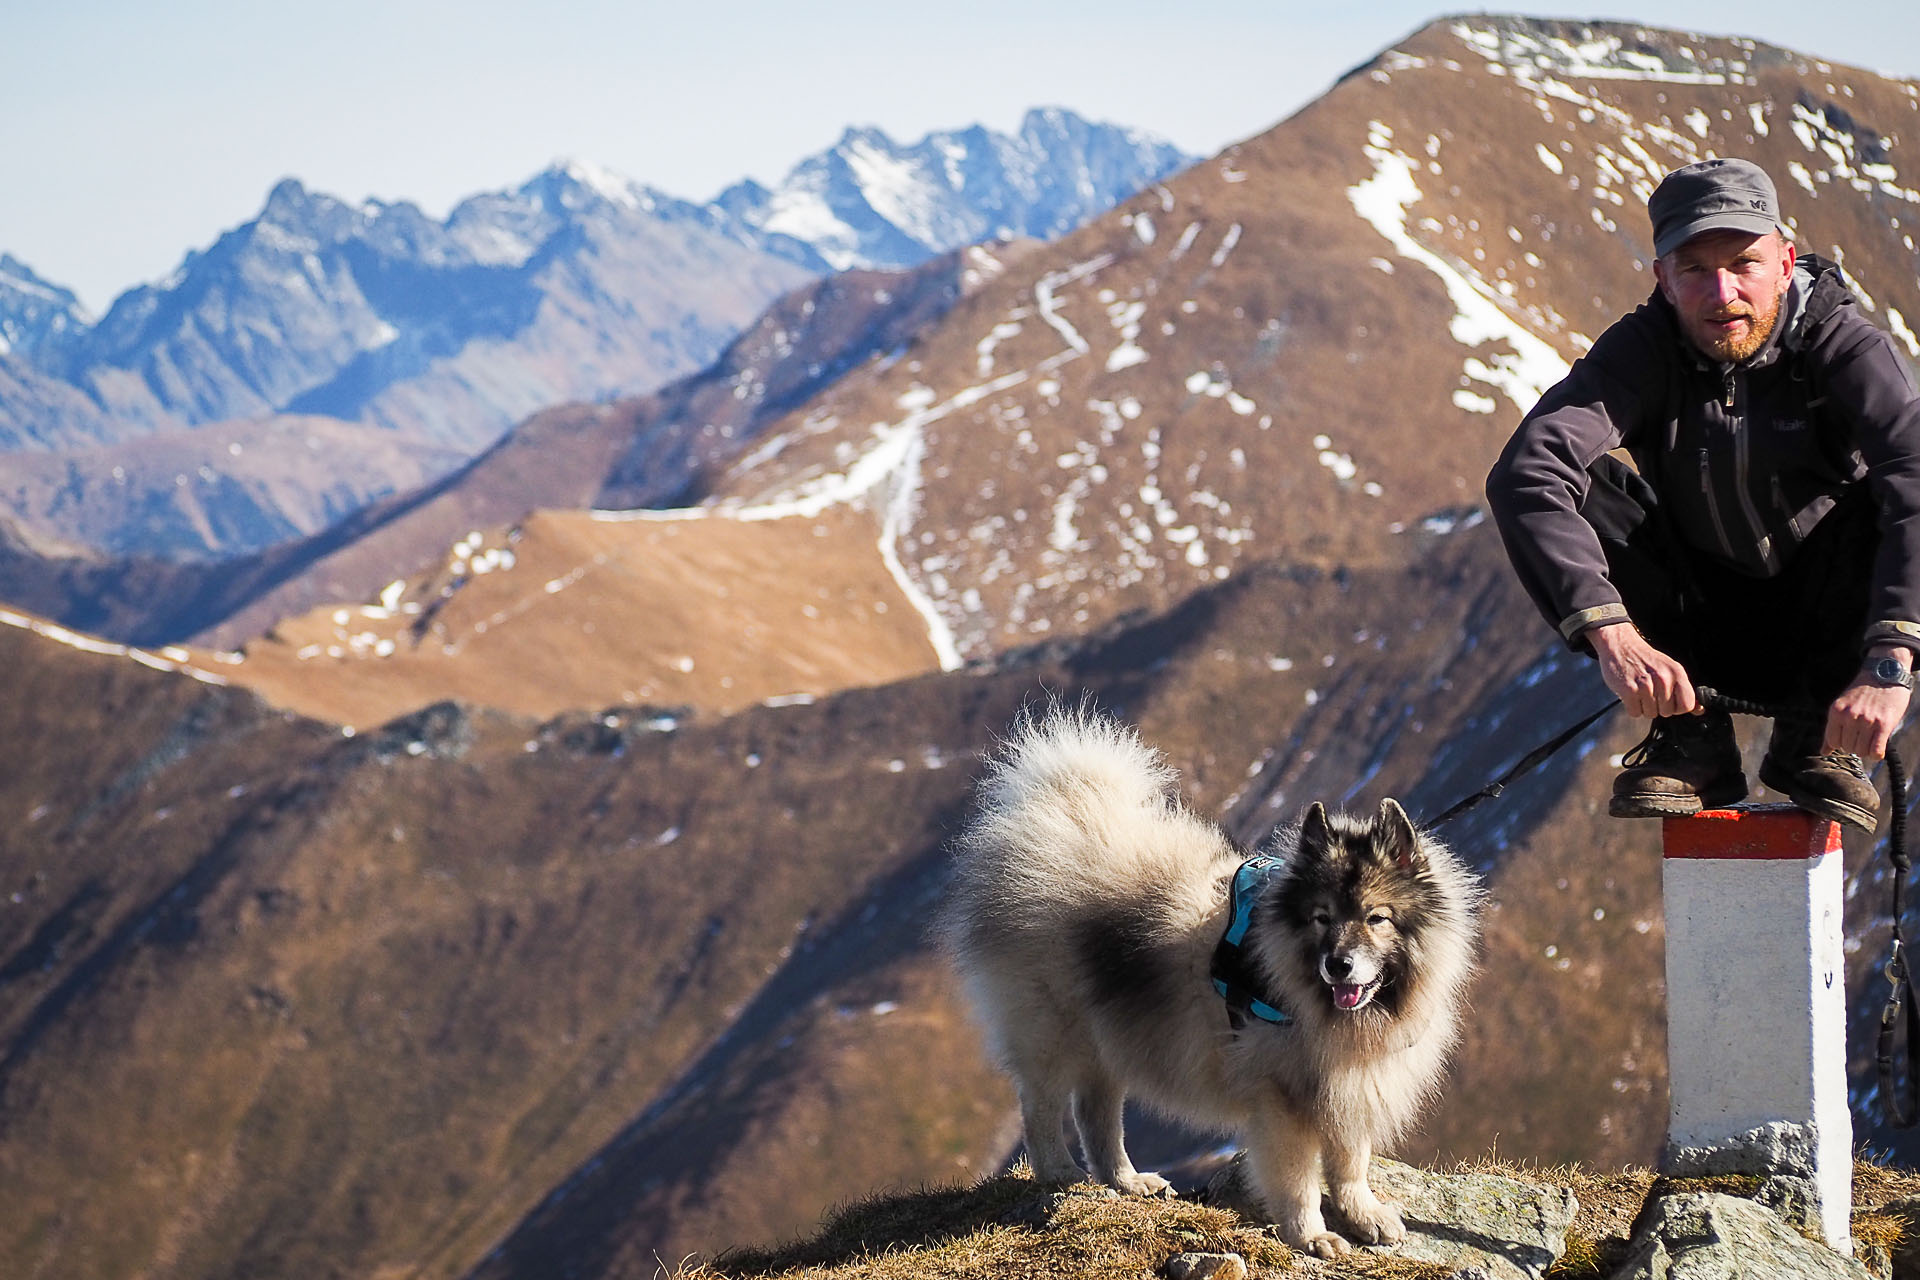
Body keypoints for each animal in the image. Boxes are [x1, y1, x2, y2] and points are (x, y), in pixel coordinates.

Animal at [940, 710, 1482, 1258]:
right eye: (1322, 918)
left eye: (1376, 918)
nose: (1338, 965)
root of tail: (1055, 820)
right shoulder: (1281, 1102)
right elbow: (1299, 1181)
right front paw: (1310, 1235)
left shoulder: (1349, 1087)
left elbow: (1351, 1164)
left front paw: (1362, 1214)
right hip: (1054, 1031)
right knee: (1042, 1107)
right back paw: (1059, 1172)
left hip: (1110, 1031)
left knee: (1097, 1113)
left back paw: (1125, 1181)